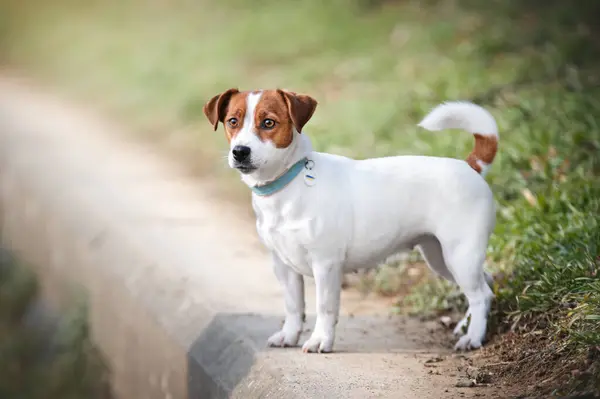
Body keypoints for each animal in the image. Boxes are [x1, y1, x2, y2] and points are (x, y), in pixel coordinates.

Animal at [204, 88, 500, 354]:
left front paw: (320, 340)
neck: (289, 184)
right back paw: (465, 327)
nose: (240, 151)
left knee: (481, 294)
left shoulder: (325, 265)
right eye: (233, 121)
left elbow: (324, 308)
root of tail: (470, 166)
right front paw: (289, 335)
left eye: (268, 123)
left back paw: (473, 338)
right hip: (441, 258)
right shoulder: (283, 266)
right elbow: (293, 306)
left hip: (460, 255)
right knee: (483, 285)